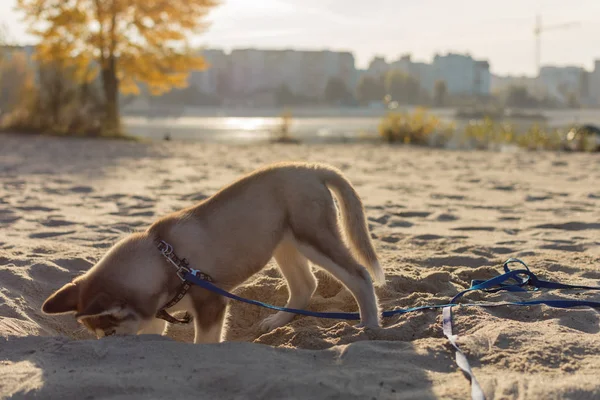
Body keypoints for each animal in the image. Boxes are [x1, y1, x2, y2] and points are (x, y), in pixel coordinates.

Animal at [41, 161, 384, 342]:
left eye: (110, 332)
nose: (103, 348)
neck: (163, 260)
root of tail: (311, 168)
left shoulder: (211, 303)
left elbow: (204, 342)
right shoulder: (154, 316)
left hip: (312, 237)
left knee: (358, 274)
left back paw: (369, 325)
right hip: (283, 243)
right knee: (305, 285)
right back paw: (276, 323)